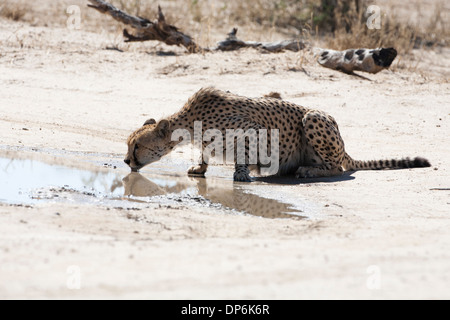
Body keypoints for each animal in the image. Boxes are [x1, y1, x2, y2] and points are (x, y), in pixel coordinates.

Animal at [124, 87, 432, 182]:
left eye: (136, 146)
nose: (126, 162)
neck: (190, 123)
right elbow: (205, 153)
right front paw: (200, 168)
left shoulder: (252, 129)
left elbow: (243, 154)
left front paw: (243, 174)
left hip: (313, 118)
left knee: (338, 167)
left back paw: (308, 171)